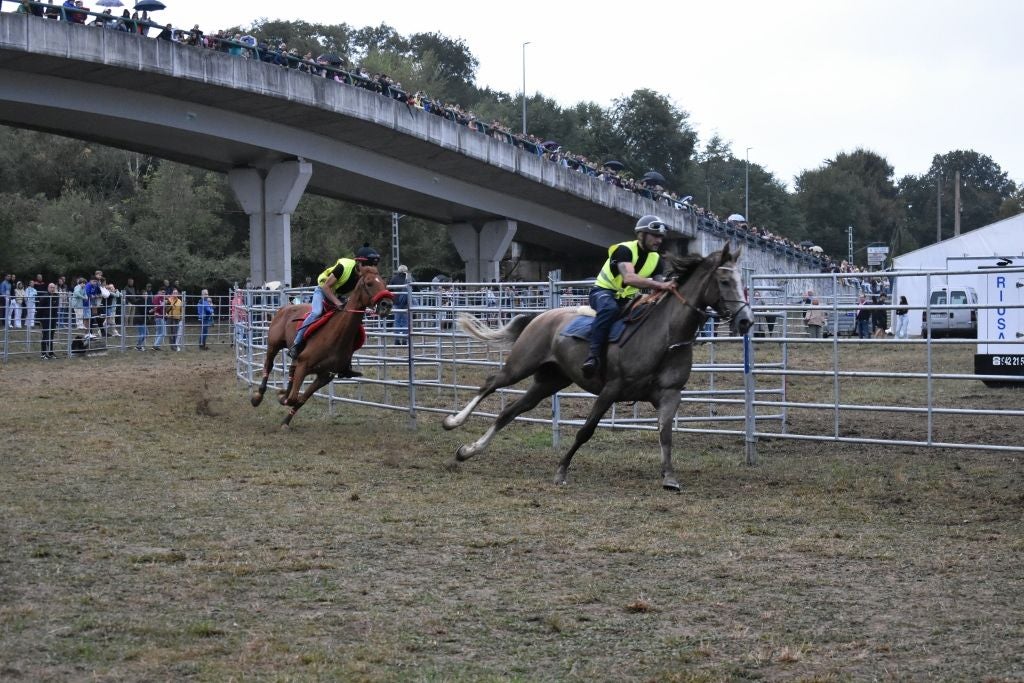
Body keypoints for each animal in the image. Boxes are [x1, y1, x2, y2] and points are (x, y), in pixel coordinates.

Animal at [250, 266, 393, 427]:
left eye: (384, 283)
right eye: (369, 283)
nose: (387, 305)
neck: (336, 335)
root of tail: (284, 308)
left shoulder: (325, 376)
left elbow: (300, 400)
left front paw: (285, 420)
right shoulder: (304, 366)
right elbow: (293, 398)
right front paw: (282, 399)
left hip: (295, 357)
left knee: (291, 370)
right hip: (273, 345)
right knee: (268, 365)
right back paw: (257, 397)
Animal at [442, 245, 754, 491]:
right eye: (724, 280)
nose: (746, 321)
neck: (665, 335)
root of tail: (542, 316)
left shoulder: (670, 394)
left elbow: (665, 435)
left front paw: (669, 478)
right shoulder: (611, 389)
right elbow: (585, 431)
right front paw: (561, 471)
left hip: (549, 381)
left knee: (510, 411)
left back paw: (468, 451)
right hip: (520, 365)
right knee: (491, 383)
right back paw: (452, 422)